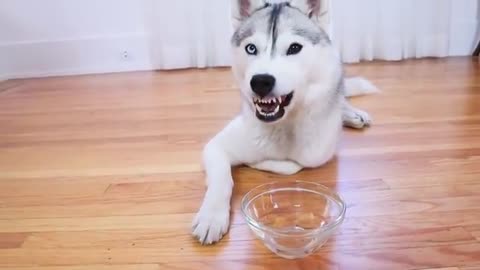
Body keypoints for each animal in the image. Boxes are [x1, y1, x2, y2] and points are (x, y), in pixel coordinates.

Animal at [193, 0, 376, 245]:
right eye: (251, 48)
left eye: (294, 48)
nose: (260, 81)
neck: (281, 125)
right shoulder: (215, 147)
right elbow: (222, 179)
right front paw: (211, 216)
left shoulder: (316, 154)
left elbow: (293, 166)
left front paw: (256, 163)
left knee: (341, 97)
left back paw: (352, 114)